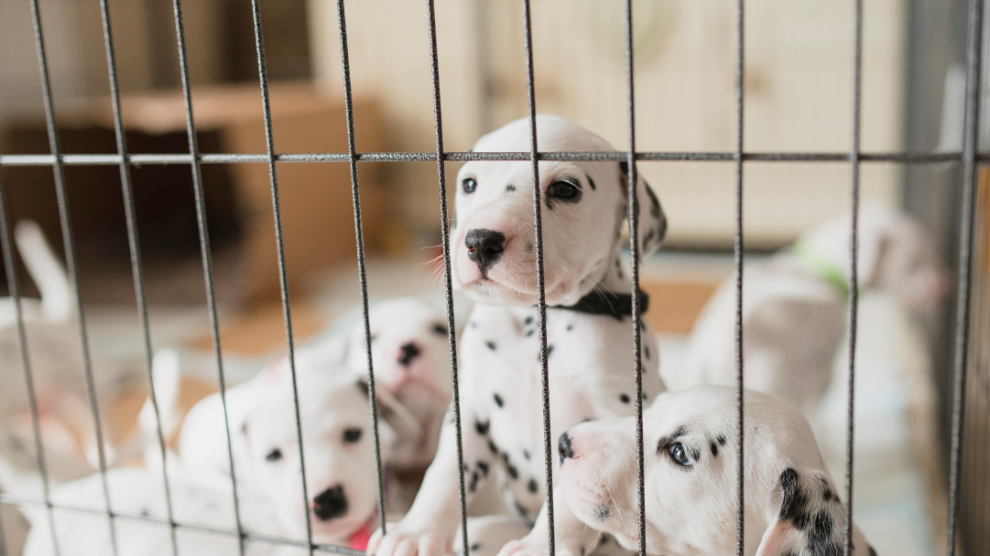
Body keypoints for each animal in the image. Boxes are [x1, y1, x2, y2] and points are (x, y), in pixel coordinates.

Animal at [368, 114, 672, 556]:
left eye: (565, 189)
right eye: (470, 184)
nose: (480, 241)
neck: (536, 324)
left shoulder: (604, 417)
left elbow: (568, 499)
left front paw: (540, 546)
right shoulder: (470, 409)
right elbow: (443, 473)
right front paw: (415, 530)